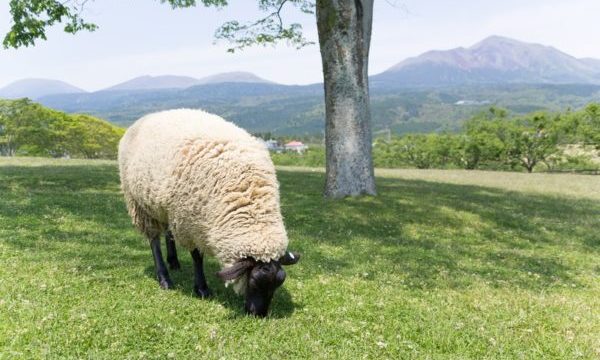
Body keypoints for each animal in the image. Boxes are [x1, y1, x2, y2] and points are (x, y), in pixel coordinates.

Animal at [118, 108, 300, 316]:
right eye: (254, 281)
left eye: (278, 284)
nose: (258, 314)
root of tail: (148, 116)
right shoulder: (190, 223)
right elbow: (197, 257)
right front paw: (202, 288)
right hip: (140, 204)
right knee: (153, 239)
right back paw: (164, 278)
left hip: (167, 207)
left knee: (168, 232)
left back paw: (173, 262)